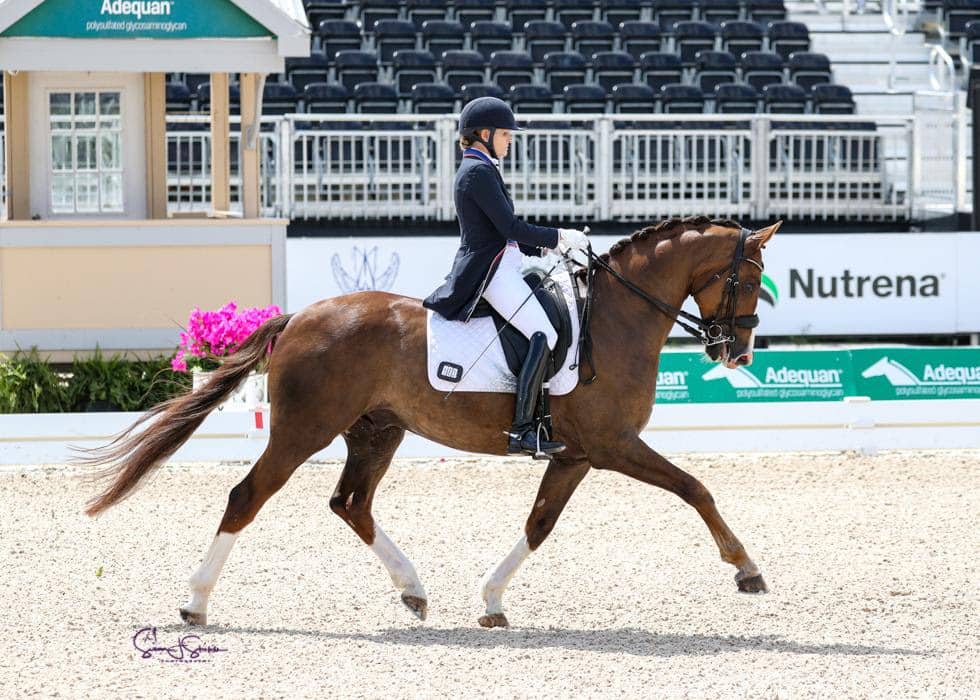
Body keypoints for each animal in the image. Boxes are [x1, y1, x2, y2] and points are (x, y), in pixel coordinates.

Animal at [80, 215, 776, 628]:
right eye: (748, 280)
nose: (737, 354)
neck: (614, 317)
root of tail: (300, 316)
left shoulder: (577, 454)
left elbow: (540, 523)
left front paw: (492, 601)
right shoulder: (614, 445)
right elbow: (696, 488)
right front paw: (745, 567)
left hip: (378, 431)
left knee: (350, 504)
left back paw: (412, 589)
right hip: (304, 430)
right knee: (247, 496)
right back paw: (195, 602)